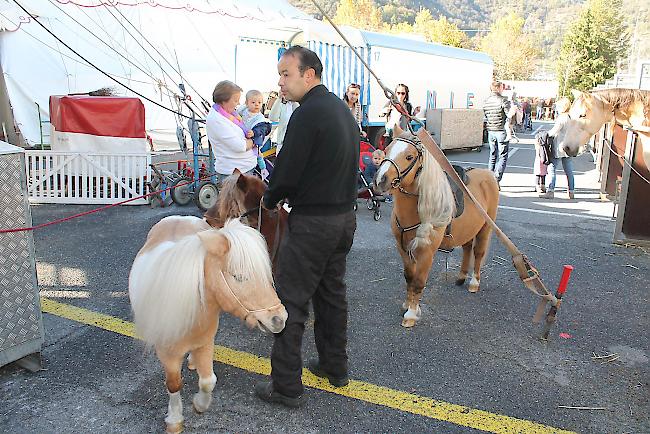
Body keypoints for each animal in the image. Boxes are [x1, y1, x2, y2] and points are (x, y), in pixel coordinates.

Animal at [128, 219, 284, 432]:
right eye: (238, 277)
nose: (280, 319)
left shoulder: (205, 342)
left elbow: (208, 381)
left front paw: (199, 405)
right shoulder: (167, 353)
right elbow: (174, 384)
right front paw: (174, 421)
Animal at [372, 129, 498, 328]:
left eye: (409, 156)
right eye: (387, 149)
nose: (380, 180)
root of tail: (488, 174)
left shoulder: (426, 252)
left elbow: (418, 281)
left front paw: (411, 314)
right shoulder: (403, 248)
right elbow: (409, 276)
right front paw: (407, 305)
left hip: (485, 227)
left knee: (478, 253)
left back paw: (474, 283)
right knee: (467, 248)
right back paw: (461, 277)